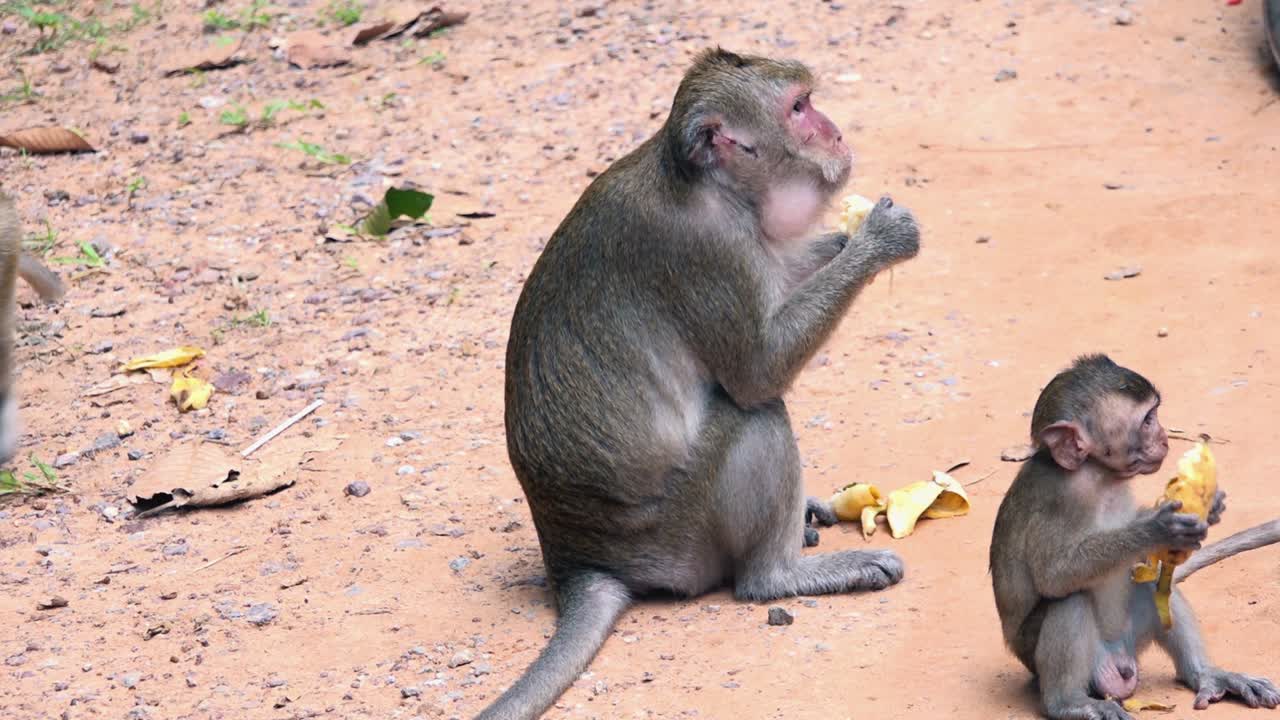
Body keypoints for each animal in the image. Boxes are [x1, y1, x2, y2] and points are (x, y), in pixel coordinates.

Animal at [485, 48, 920, 720]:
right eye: (799, 109)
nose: (837, 133)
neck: (710, 185)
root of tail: (575, 560)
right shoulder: (705, 249)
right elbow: (757, 372)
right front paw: (878, 239)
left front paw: (847, 239)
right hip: (678, 538)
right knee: (756, 415)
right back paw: (779, 576)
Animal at [990, 354, 1280, 720]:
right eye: (1146, 421)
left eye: (1154, 414)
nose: (1166, 438)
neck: (1097, 474)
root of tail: (1118, 660)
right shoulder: (1058, 497)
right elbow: (1054, 577)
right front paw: (1157, 528)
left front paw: (1208, 507)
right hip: (1045, 661)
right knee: (1071, 599)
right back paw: (1069, 703)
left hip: (1131, 638)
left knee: (1155, 584)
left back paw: (1207, 675)